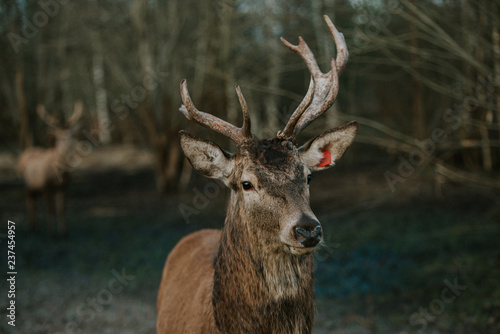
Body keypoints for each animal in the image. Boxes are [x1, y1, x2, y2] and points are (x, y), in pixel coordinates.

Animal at [17, 100, 82, 236]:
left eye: (71, 135)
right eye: (60, 137)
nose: (69, 145)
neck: (59, 174)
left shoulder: (63, 187)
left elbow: (61, 209)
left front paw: (63, 233)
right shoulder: (46, 186)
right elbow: (51, 209)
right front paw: (51, 233)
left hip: (34, 187)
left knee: (33, 202)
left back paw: (34, 226)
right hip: (26, 184)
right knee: (29, 202)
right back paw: (31, 227)